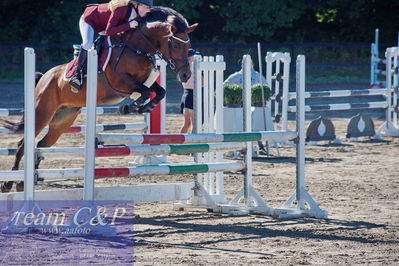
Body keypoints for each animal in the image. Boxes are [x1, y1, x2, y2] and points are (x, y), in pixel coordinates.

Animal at [0, 7, 198, 192]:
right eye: (176, 45)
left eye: (188, 45)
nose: (186, 75)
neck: (138, 47)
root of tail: (44, 78)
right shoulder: (121, 81)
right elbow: (143, 92)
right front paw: (129, 108)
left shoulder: (143, 81)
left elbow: (159, 92)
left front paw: (144, 108)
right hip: (41, 113)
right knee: (23, 144)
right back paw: (10, 183)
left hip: (62, 120)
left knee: (41, 145)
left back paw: (25, 181)